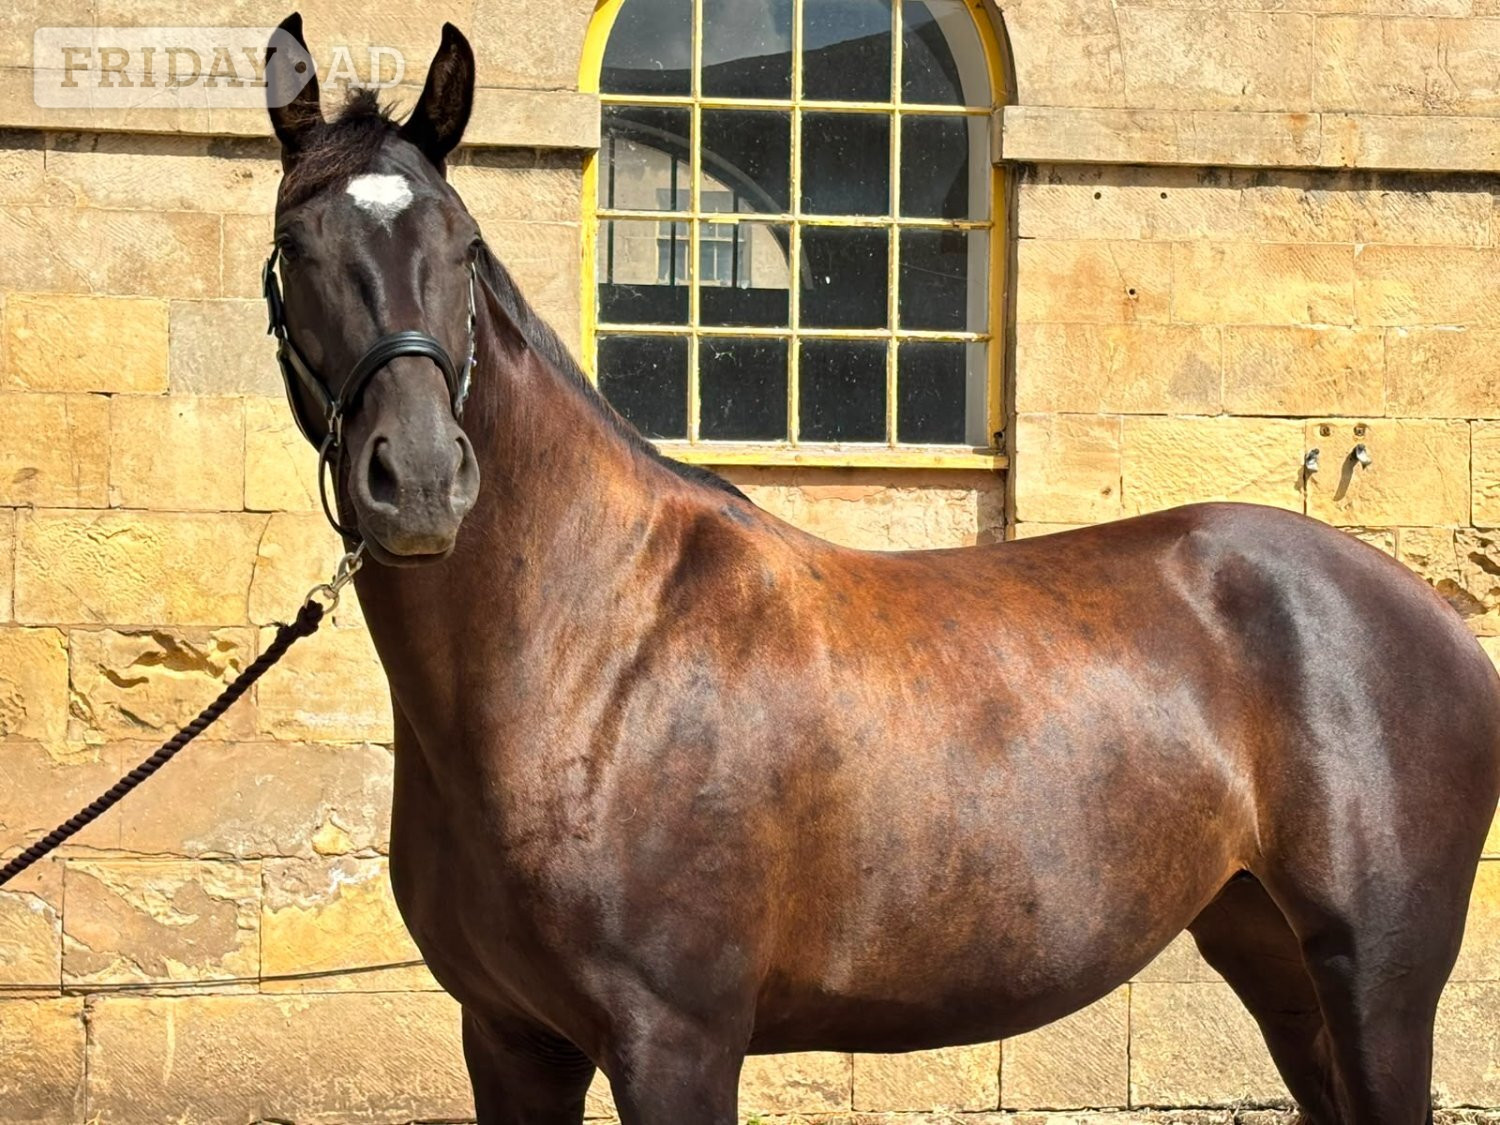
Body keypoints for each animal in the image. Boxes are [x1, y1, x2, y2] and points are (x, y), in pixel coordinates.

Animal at [261, 16, 1500, 1123]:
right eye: (295, 249)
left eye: (463, 247)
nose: (422, 480)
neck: (587, 653)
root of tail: (1435, 616)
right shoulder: (512, 1039)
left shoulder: (675, 1041)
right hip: (1270, 958)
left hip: (1378, 986)